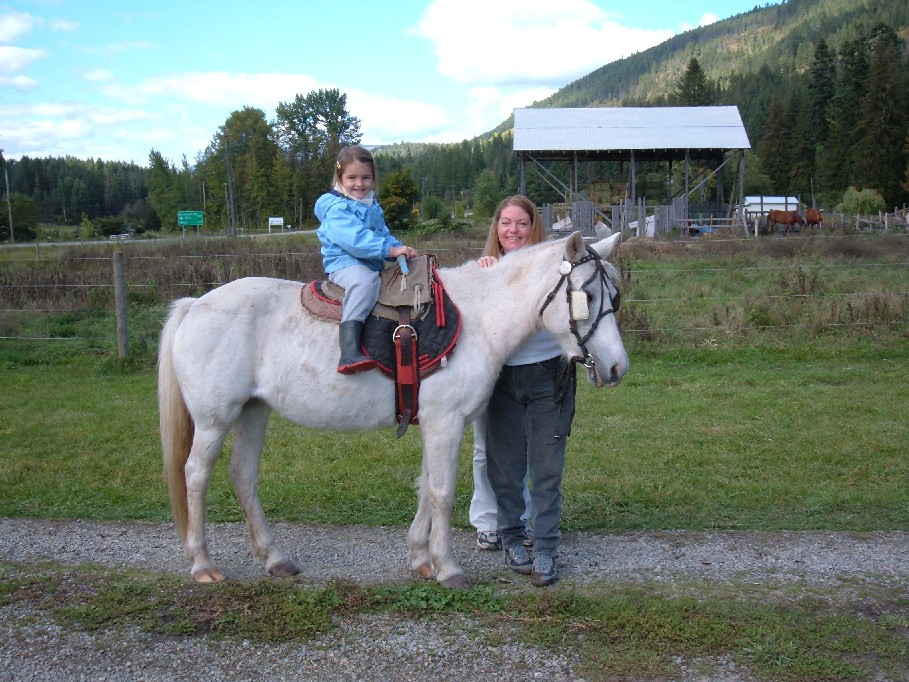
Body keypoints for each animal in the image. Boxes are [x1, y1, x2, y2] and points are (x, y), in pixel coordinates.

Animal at [160, 231, 628, 588]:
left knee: (243, 476)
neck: (480, 319)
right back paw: (203, 564)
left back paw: (274, 559)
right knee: (195, 477)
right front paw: (448, 568)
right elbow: (442, 492)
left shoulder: (435, 423)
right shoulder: (445, 423)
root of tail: (194, 305)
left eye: (615, 297)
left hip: (253, 412)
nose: (617, 367)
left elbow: (425, 486)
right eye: (586, 295)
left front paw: (421, 558)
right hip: (215, 420)